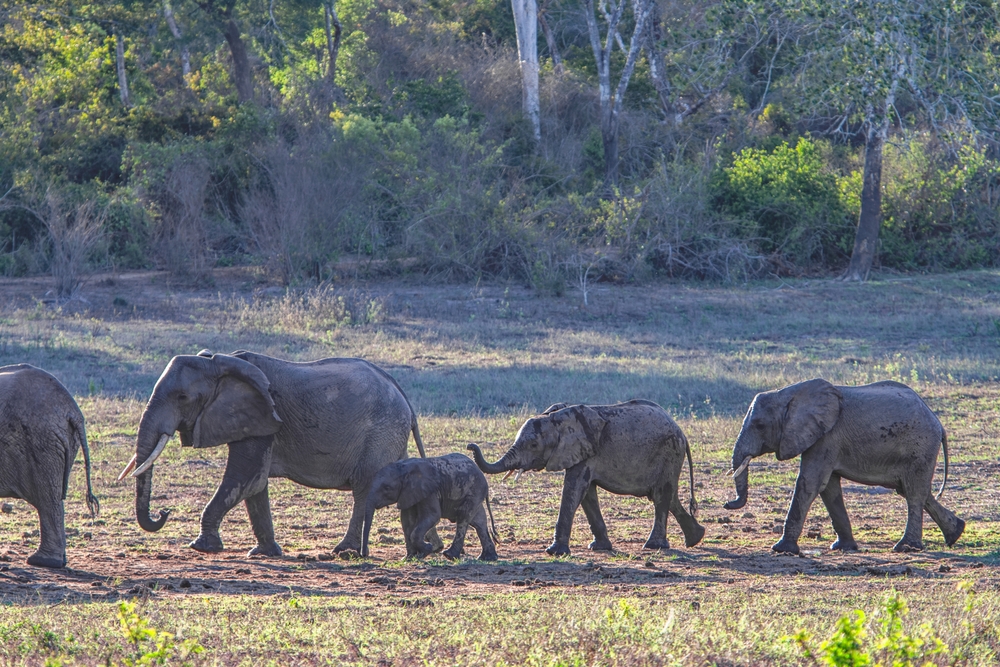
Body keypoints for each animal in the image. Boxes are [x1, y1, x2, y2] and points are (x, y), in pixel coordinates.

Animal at [119, 352, 440, 556]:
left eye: (182, 397)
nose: (164, 512)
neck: (217, 363)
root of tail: (403, 397)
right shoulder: (254, 422)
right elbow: (254, 485)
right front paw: (264, 553)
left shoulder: (264, 419)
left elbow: (244, 479)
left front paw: (201, 547)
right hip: (390, 433)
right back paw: (430, 548)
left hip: (380, 432)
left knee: (364, 490)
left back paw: (345, 552)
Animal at [362, 454, 498, 560]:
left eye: (387, 488)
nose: (364, 555)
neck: (404, 469)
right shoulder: (408, 492)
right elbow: (406, 520)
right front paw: (409, 558)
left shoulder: (429, 491)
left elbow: (432, 516)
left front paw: (427, 549)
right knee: (479, 523)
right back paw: (488, 558)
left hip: (474, 491)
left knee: (463, 518)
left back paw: (449, 555)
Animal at [468, 402, 704, 560]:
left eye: (533, 445)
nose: (470, 445)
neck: (556, 417)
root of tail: (682, 432)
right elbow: (587, 494)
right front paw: (599, 548)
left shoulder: (586, 452)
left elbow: (574, 489)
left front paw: (553, 552)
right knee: (668, 496)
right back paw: (696, 538)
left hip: (670, 452)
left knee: (661, 495)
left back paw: (654, 546)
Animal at [724, 378, 964, 556]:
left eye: (759, 425)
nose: (727, 504)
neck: (787, 393)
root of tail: (938, 422)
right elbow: (829, 489)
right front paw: (843, 548)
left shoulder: (827, 436)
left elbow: (810, 483)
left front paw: (782, 550)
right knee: (915, 491)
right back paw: (956, 533)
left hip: (920, 446)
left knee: (914, 493)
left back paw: (906, 548)